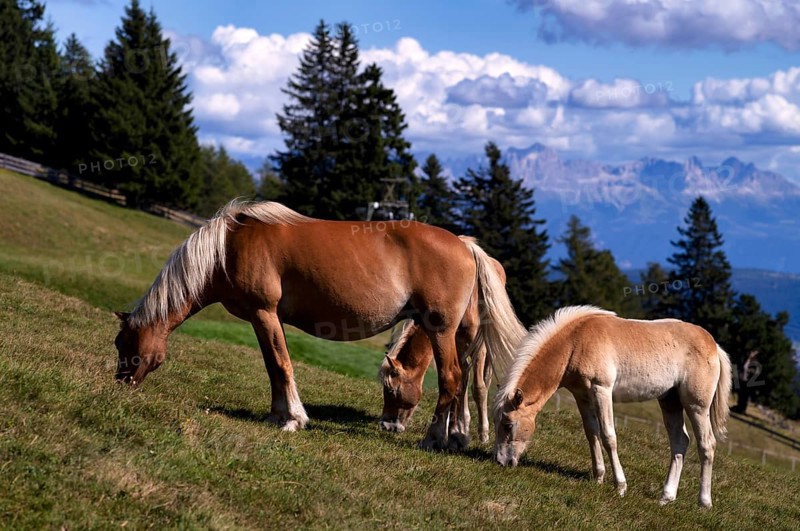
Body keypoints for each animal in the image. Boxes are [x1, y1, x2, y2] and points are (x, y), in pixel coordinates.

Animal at [379, 250, 509, 445]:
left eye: (391, 390)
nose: (386, 425)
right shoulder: (454, 343)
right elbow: (458, 383)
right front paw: (453, 429)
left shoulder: (477, 347)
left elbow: (478, 388)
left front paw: (483, 433)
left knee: (482, 379)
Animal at [493, 306, 731, 508]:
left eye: (508, 425)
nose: (501, 462)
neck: (575, 342)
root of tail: (714, 345)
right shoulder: (583, 396)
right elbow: (592, 433)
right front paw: (598, 478)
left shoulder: (601, 390)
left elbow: (609, 437)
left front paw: (620, 486)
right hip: (669, 401)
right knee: (680, 442)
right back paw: (666, 497)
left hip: (696, 406)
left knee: (707, 445)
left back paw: (704, 502)